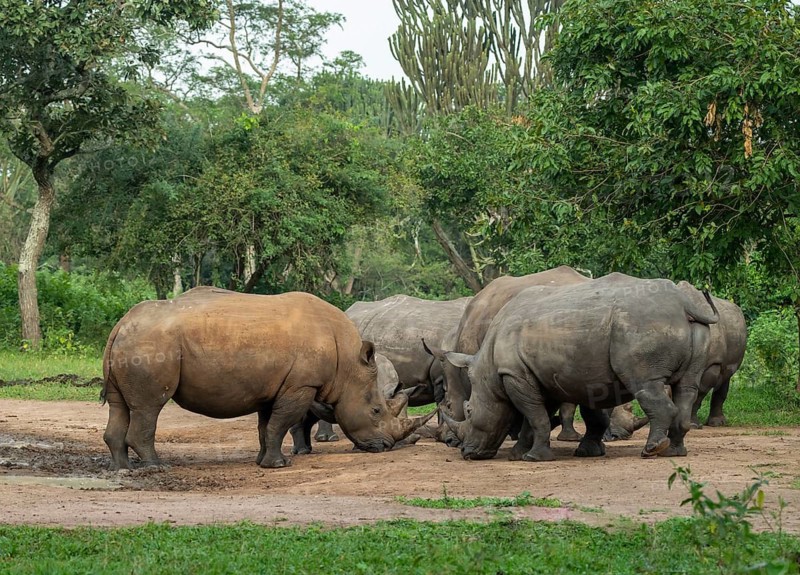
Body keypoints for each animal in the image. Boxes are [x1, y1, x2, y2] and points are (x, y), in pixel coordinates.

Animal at [101, 287, 434, 470]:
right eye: (376, 410)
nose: (386, 446)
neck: (349, 367)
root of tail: (121, 324)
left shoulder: (272, 386)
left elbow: (266, 426)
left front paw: (263, 462)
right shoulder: (301, 385)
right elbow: (281, 423)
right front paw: (280, 465)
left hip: (134, 342)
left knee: (120, 405)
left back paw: (123, 469)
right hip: (151, 344)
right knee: (149, 407)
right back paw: (156, 467)